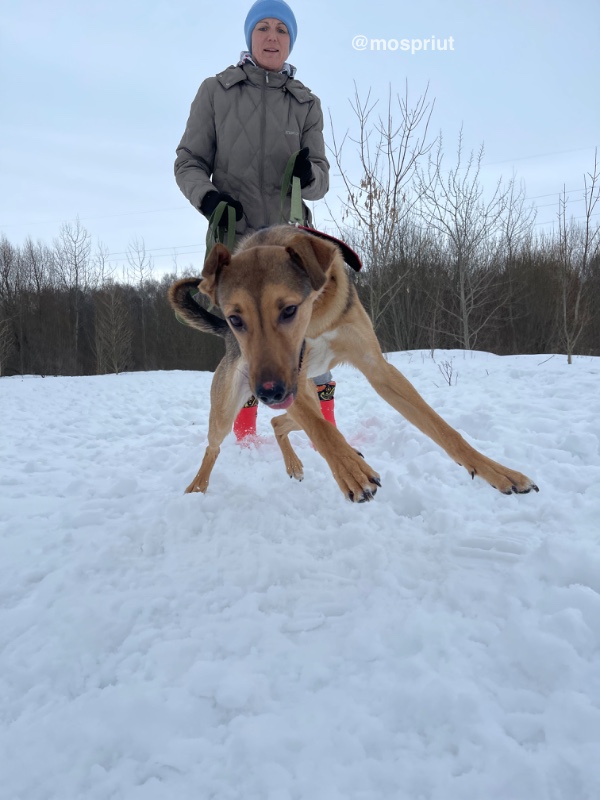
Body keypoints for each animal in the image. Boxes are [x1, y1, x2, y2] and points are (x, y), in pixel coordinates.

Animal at [168, 223, 540, 500]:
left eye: (289, 310)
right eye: (235, 319)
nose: (268, 393)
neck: (316, 317)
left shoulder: (376, 367)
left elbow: (443, 429)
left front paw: (497, 471)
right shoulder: (292, 382)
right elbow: (323, 433)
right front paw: (350, 471)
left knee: (280, 423)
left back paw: (294, 463)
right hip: (228, 407)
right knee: (215, 446)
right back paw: (197, 489)